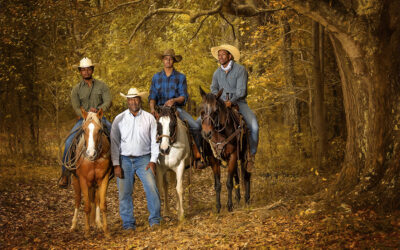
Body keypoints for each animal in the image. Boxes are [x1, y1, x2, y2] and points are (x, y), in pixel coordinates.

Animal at [70, 107, 111, 236]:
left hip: (95, 183)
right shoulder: (83, 180)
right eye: (84, 130)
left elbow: (102, 204)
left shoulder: (103, 178)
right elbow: (87, 206)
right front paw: (87, 232)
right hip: (75, 180)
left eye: (100, 130)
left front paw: (106, 230)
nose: (90, 153)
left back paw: (98, 223)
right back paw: (73, 225)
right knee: (77, 200)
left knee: (96, 200)